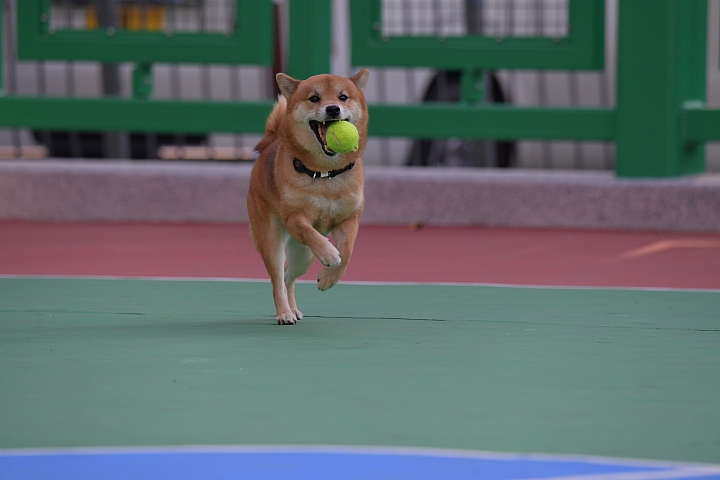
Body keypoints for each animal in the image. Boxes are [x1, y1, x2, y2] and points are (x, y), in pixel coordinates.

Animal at [247, 69, 370, 325]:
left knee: (288, 278)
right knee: (277, 280)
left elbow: (347, 252)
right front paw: (329, 253)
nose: (333, 108)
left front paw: (329, 278)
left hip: (303, 256)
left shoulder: (349, 219)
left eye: (343, 97)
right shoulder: (295, 218)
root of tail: (269, 143)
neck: (326, 174)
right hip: (272, 239)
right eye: (314, 98)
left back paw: (293, 308)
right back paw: (284, 313)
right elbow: (311, 233)